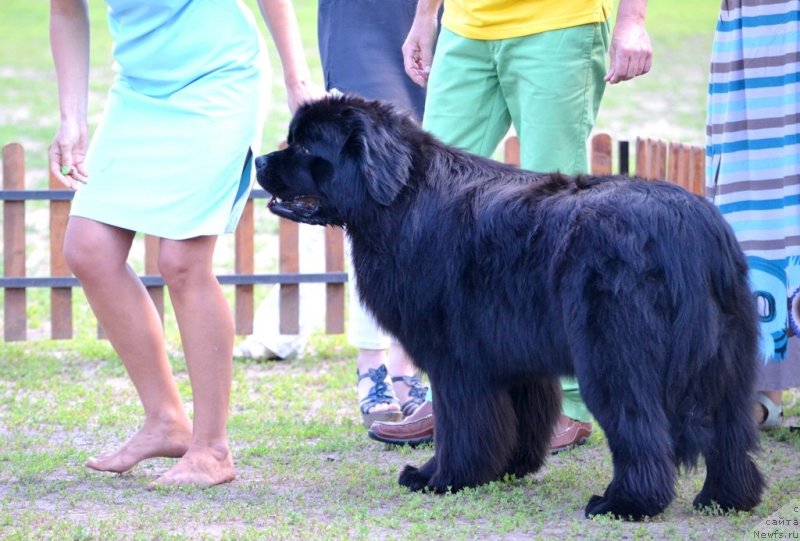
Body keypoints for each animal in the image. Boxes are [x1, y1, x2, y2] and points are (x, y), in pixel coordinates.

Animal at [255, 95, 764, 516]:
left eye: (305, 147)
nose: (258, 158)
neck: (401, 198)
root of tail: (689, 228)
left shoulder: (455, 360)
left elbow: (460, 424)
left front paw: (441, 478)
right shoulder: (513, 355)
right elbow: (521, 418)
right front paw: (507, 468)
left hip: (613, 358)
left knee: (641, 430)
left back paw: (627, 503)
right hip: (727, 363)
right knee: (730, 433)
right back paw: (726, 498)